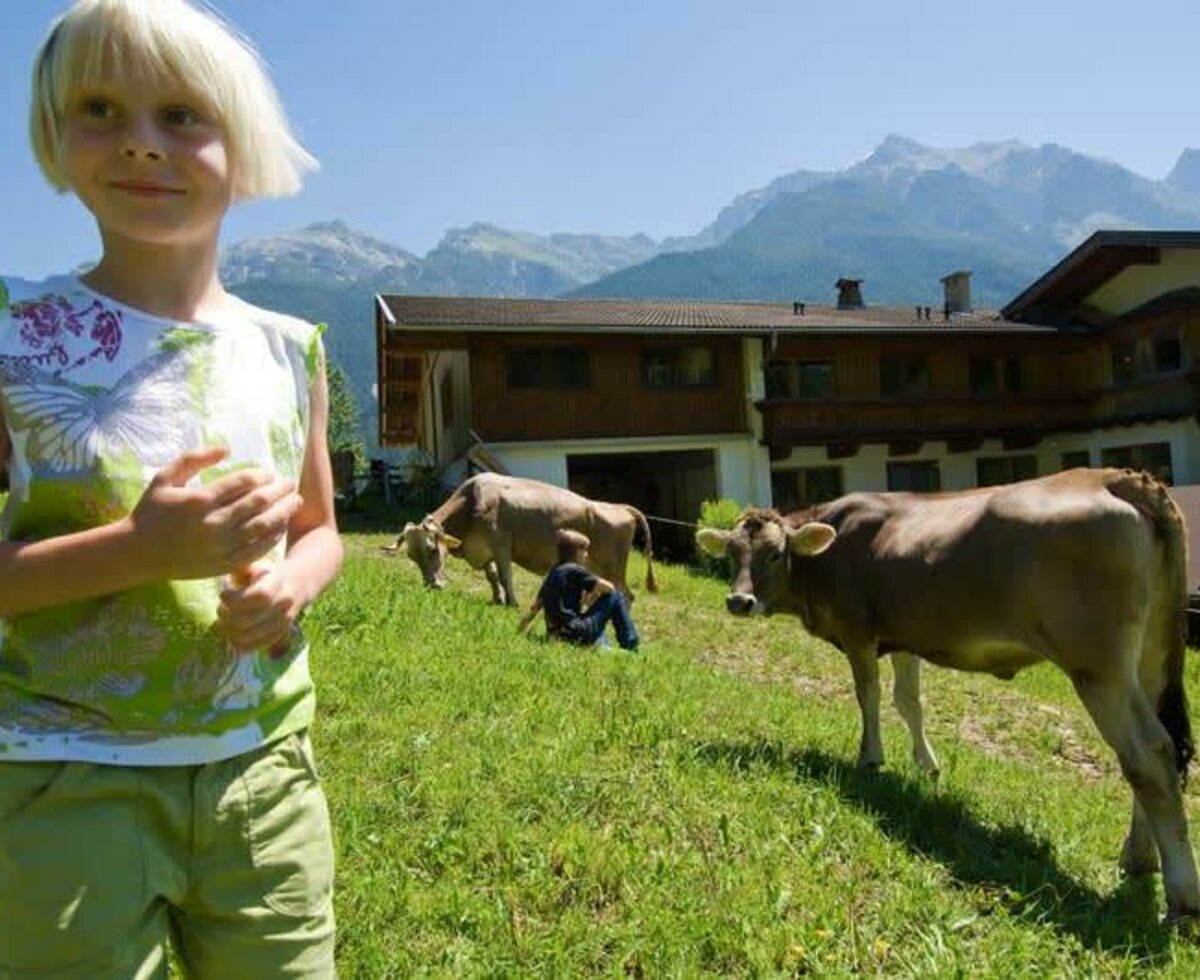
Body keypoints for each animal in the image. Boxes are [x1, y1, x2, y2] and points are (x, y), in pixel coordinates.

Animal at [381, 472, 657, 604]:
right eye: (411, 556)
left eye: (433, 549)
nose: (433, 585)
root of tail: (620, 506)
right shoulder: (484, 550)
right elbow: (492, 575)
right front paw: (497, 598)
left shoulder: (501, 542)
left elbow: (505, 574)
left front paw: (511, 602)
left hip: (614, 567)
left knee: (625, 596)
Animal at [696, 470, 1200, 921]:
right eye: (732, 554)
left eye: (776, 553)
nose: (738, 602)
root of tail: (1112, 476)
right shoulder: (903, 637)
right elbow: (908, 702)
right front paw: (927, 765)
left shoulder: (858, 632)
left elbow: (868, 695)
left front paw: (871, 758)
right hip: (1147, 661)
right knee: (1154, 753)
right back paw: (1138, 856)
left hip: (1098, 665)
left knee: (1148, 753)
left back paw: (1180, 896)